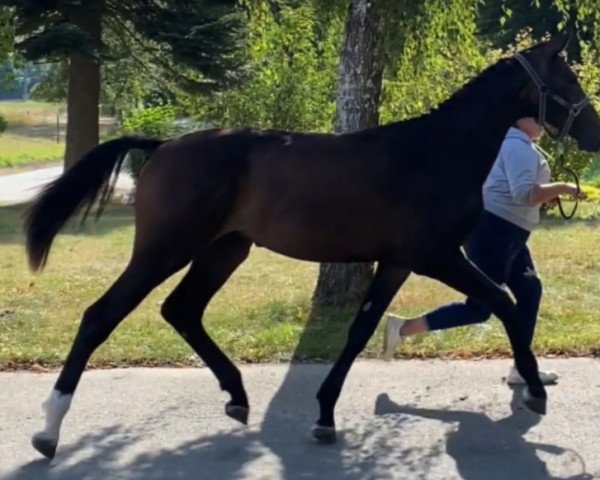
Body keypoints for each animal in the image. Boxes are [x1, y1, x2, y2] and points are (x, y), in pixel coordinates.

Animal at [23, 33, 600, 458]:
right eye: (567, 78)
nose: (593, 132)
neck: (438, 152)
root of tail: (162, 146)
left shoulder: (396, 262)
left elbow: (361, 329)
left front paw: (325, 414)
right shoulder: (435, 257)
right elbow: (504, 302)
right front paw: (535, 391)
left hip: (224, 250)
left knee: (181, 310)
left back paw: (237, 397)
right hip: (165, 248)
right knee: (101, 315)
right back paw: (49, 430)